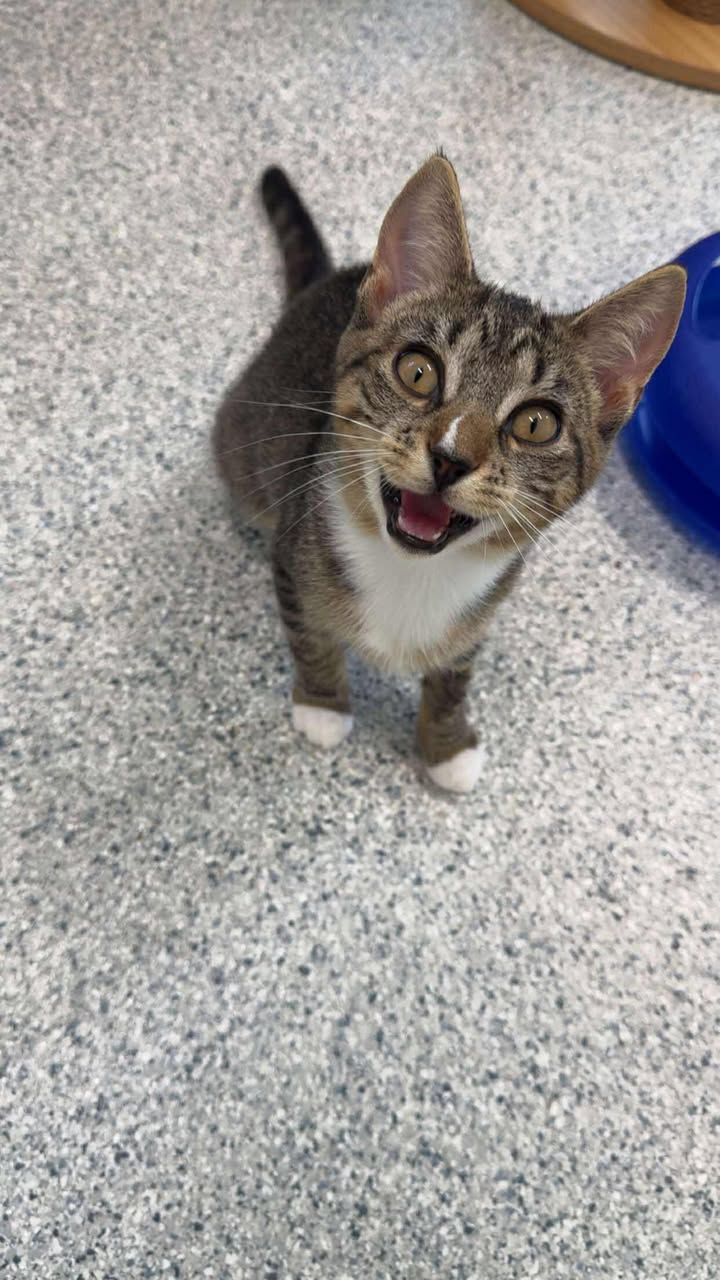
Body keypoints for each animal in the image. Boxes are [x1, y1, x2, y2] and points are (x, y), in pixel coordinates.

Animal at [213, 155, 685, 792]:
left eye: (536, 423)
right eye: (418, 371)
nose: (450, 457)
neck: (410, 572)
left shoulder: (477, 620)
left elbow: (452, 679)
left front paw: (447, 746)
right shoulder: (294, 550)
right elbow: (309, 636)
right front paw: (323, 705)